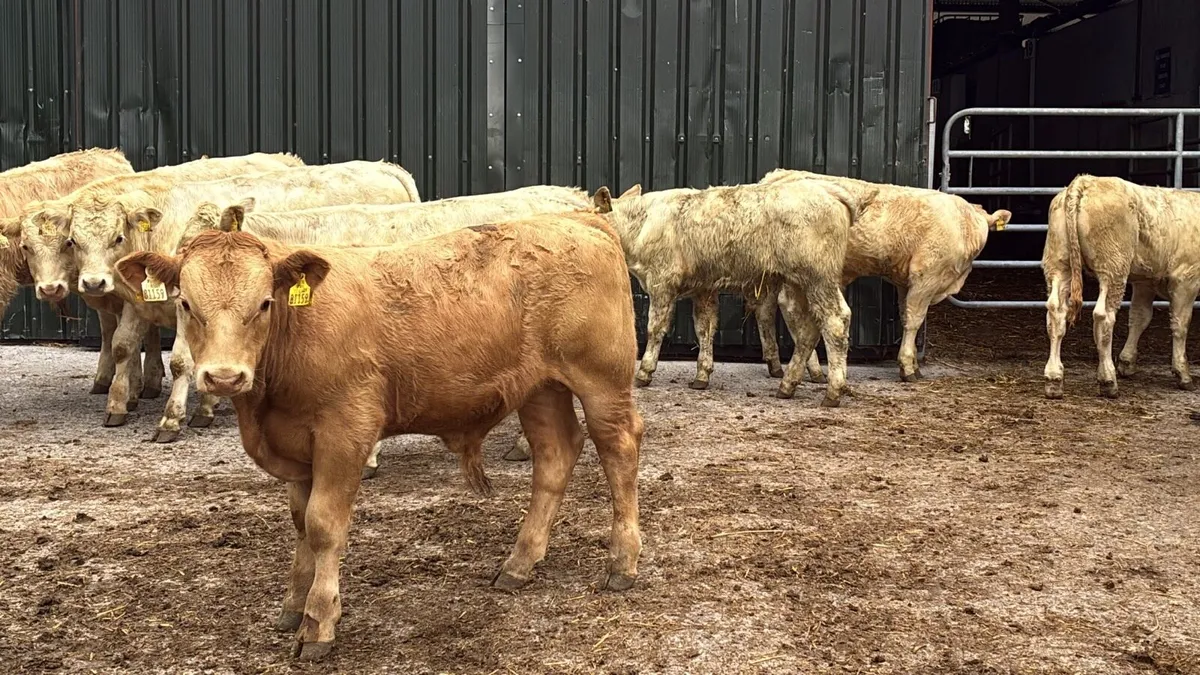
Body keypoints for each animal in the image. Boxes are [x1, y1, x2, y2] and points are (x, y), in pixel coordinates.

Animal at [67, 160, 421, 442]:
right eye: (73, 241)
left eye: (117, 237)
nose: (94, 282)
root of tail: (385, 167)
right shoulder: (142, 303)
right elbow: (123, 345)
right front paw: (118, 406)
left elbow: (181, 361)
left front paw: (173, 419)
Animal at [114, 216, 644, 661]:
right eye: (186, 303)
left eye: (264, 303)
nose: (224, 377)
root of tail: (581, 220)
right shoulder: (297, 446)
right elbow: (300, 524)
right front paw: (293, 606)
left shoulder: (345, 432)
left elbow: (324, 525)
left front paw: (319, 622)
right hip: (540, 389)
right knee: (555, 456)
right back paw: (519, 562)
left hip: (602, 381)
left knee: (619, 452)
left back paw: (622, 562)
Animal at [592, 179, 858, 407]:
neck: (641, 225)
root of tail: (827, 190)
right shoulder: (704, 288)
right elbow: (705, 328)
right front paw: (702, 375)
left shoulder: (662, 282)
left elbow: (655, 328)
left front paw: (644, 372)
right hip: (797, 283)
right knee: (808, 330)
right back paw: (788, 385)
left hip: (817, 277)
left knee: (835, 320)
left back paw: (832, 391)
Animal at [759, 169, 1011, 383]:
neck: (963, 225)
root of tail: (780, 175)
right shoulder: (925, 277)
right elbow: (914, 319)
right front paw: (908, 368)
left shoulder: (904, 282)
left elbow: (904, 315)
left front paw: (913, 365)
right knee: (790, 309)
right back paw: (813, 369)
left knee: (766, 310)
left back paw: (777, 365)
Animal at [1042, 174, 1200, 399]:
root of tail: (1086, 180)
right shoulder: (1186, 278)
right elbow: (1181, 324)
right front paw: (1183, 373)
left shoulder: (1145, 281)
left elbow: (1139, 317)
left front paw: (1127, 362)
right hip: (1113, 268)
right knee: (1103, 317)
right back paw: (1108, 380)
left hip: (1058, 262)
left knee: (1056, 312)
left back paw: (1054, 379)